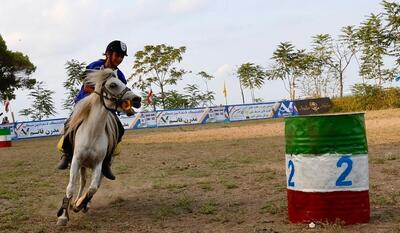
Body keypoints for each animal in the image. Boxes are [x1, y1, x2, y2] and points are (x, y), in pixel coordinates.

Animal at [56, 68, 141, 226]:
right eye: (113, 84)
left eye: (122, 82)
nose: (137, 99)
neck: (92, 132)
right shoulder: (76, 160)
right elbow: (70, 188)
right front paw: (63, 216)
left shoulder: (98, 164)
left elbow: (93, 188)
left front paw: (80, 205)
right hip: (82, 164)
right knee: (82, 182)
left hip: (103, 166)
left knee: (93, 184)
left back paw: (83, 203)